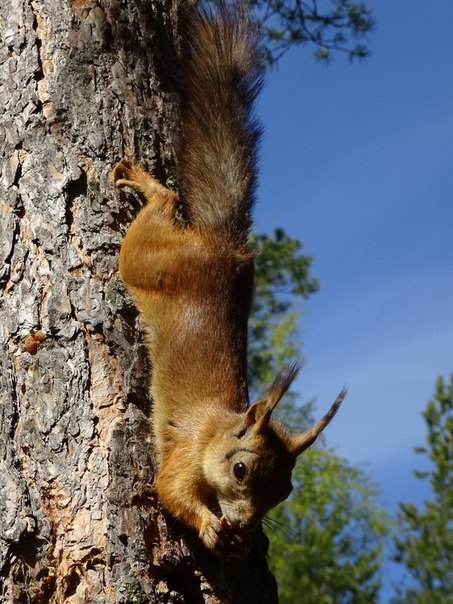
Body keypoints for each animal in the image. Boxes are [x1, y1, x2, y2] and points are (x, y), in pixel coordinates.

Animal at [113, 0, 346, 556]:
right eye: (240, 470)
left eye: (285, 492)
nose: (243, 525)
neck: (220, 427)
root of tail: (222, 245)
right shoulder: (185, 449)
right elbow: (169, 490)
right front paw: (208, 525)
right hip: (145, 262)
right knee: (161, 210)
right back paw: (148, 186)